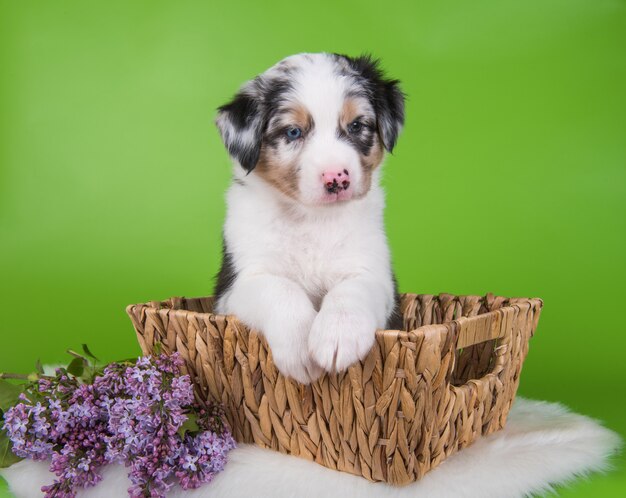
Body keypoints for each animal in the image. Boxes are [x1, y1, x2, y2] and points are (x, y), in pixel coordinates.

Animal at [212, 52, 402, 384]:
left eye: (356, 125)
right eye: (293, 132)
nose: (336, 178)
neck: (313, 219)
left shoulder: (375, 274)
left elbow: (350, 291)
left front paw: (338, 335)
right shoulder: (238, 284)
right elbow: (281, 289)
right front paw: (301, 347)